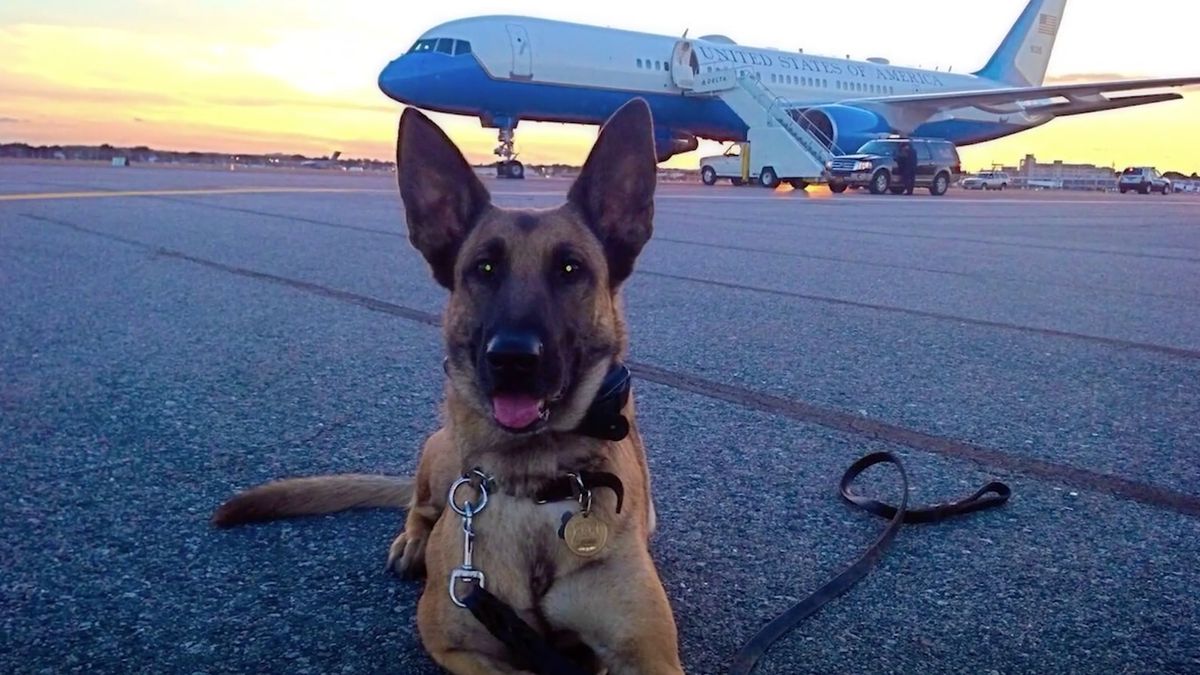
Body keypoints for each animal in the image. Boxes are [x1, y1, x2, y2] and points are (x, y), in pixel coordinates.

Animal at [212, 99, 691, 672]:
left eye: (571, 269)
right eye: (482, 268)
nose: (512, 359)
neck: (533, 483)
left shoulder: (648, 658)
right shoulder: (458, 644)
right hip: (439, 453)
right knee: (420, 507)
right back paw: (414, 542)